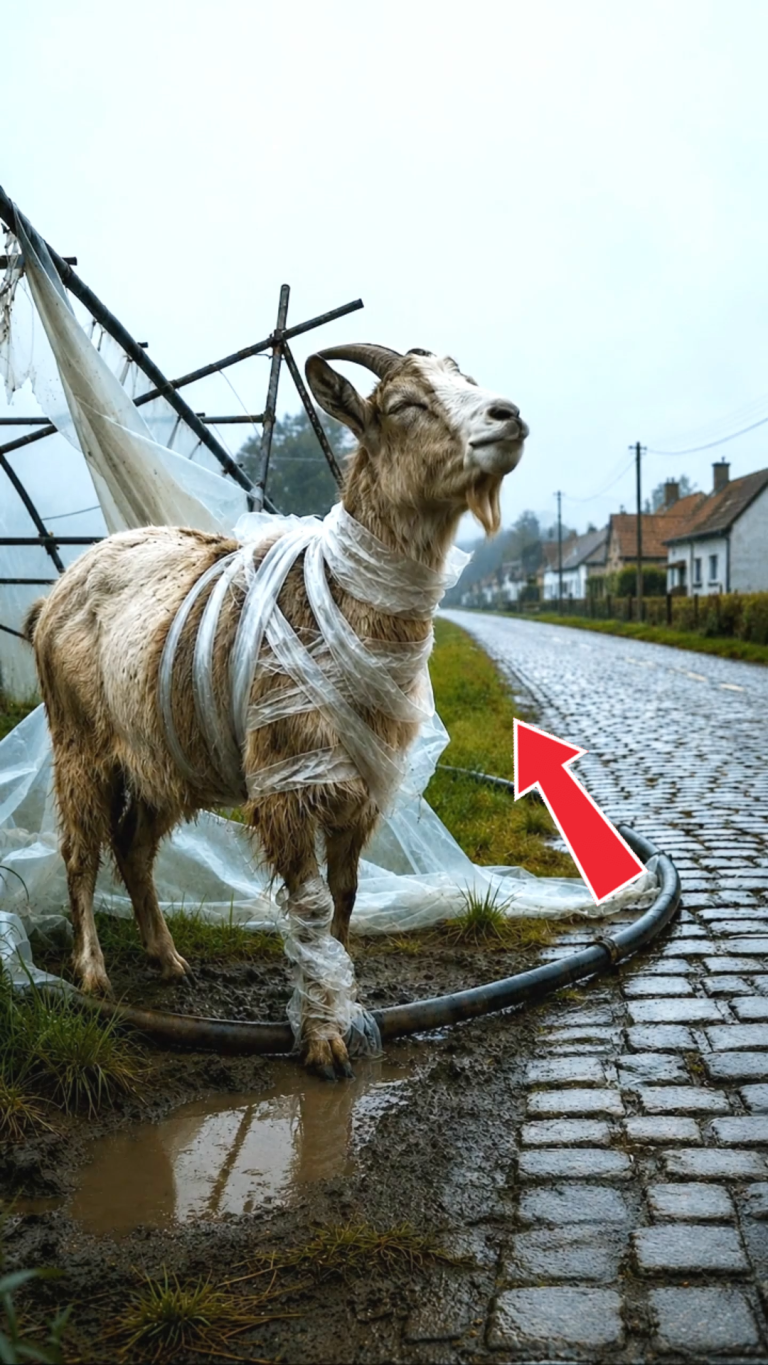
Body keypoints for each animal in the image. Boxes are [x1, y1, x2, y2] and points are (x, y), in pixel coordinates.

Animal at [25, 344, 527, 1077]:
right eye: (403, 403)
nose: (508, 416)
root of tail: (53, 596)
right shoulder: (286, 782)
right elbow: (311, 905)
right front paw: (322, 1042)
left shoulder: (359, 788)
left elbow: (345, 895)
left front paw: (340, 1007)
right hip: (80, 744)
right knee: (80, 849)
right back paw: (93, 974)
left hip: (160, 757)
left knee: (134, 847)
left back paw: (169, 958)